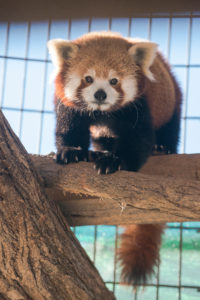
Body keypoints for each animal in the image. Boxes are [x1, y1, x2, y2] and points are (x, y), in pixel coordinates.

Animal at [47, 31, 182, 288]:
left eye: (114, 81)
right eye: (88, 79)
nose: (100, 94)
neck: (103, 112)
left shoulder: (140, 105)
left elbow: (139, 141)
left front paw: (115, 162)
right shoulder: (68, 105)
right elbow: (69, 128)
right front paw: (72, 151)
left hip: (172, 97)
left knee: (171, 125)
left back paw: (165, 147)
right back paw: (100, 150)